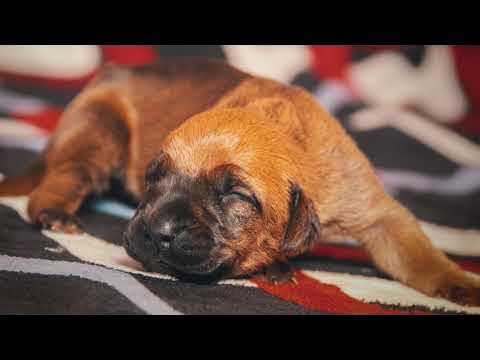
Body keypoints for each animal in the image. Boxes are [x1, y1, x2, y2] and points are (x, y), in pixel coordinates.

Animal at [0, 57, 480, 306]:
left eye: (235, 195)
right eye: (154, 177)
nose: (156, 231)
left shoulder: (377, 212)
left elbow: (419, 255)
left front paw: (461, 283)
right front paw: (275, 265)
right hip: (99, 130)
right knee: (63, 177)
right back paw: (55, 211)